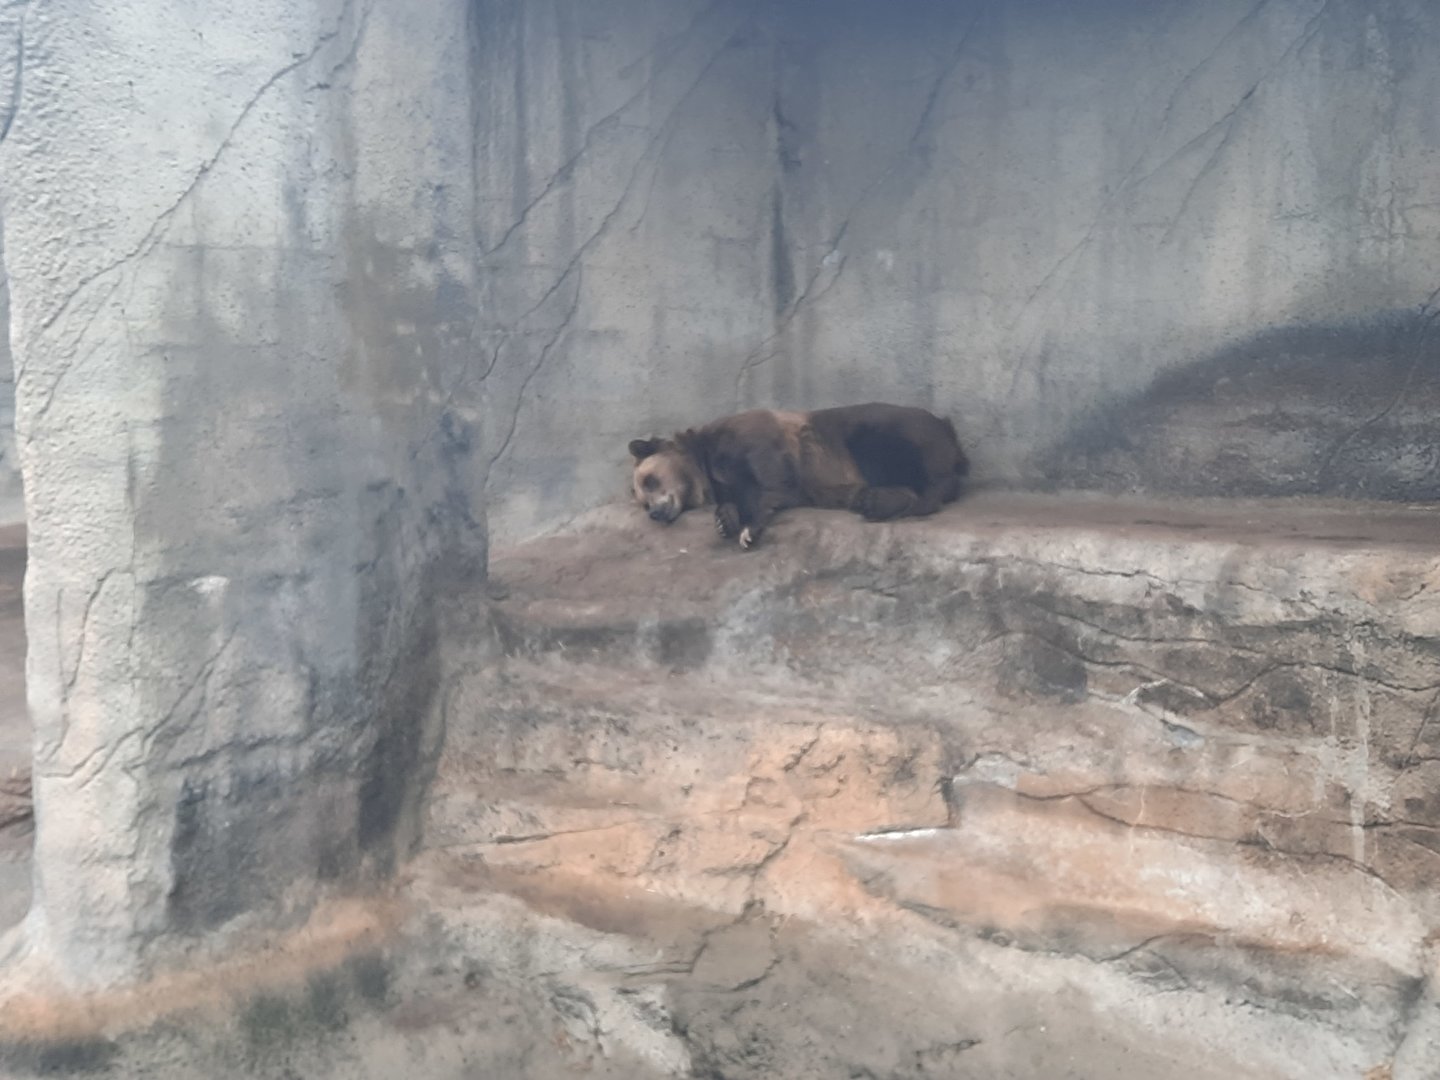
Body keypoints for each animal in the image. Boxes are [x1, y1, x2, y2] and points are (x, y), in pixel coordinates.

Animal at [628, 402, 969, 550]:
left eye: (650, 480)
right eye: (643, 501)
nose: (655, 512)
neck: (706, 467)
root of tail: (949, 429)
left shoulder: (752, 438)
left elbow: (770, 475)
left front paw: (749, 527)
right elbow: (754, 493)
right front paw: (726, 519)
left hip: (884, 432)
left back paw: (887, 501)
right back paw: (871, 500)